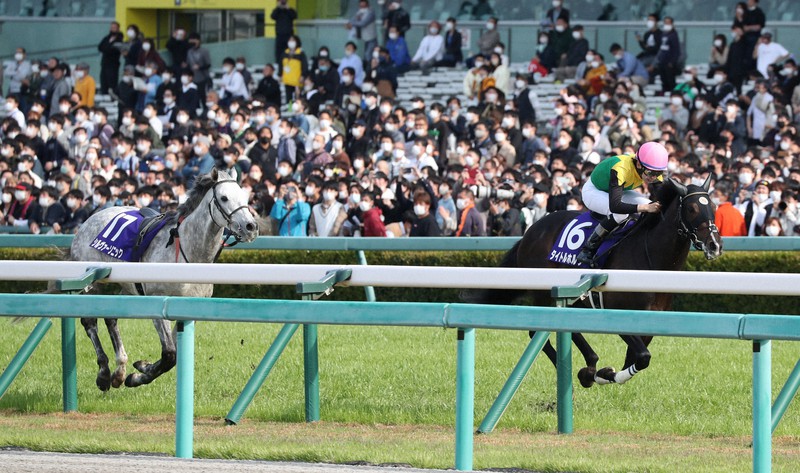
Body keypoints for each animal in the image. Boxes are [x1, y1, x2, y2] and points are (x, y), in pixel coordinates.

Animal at [67, 169, 258, 391]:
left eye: (245, 197)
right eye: (224, 197)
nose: (251, 226)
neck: (190, 255)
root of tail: (90, 219)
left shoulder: (190, 308)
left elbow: (174, 352)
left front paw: (140, 369)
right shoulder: (158, 302)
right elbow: (169, 354)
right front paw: (138, 375)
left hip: (127, 286)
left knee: (111, 318)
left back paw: (119, 370)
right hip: (94, 283)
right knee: (89, 321)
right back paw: (104, 373)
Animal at [464, 177, 722, 387]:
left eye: (714, 207)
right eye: (692, 208)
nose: (714, 245)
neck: (651, 260)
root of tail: (531, 231)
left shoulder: (650, 321)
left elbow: (636, 358)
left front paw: (604, 374)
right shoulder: (617, 312)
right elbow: (642, 357)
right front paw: (601, 374)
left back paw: (589, 367)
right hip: (545, 293)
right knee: (539, 330)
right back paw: (583, 370)